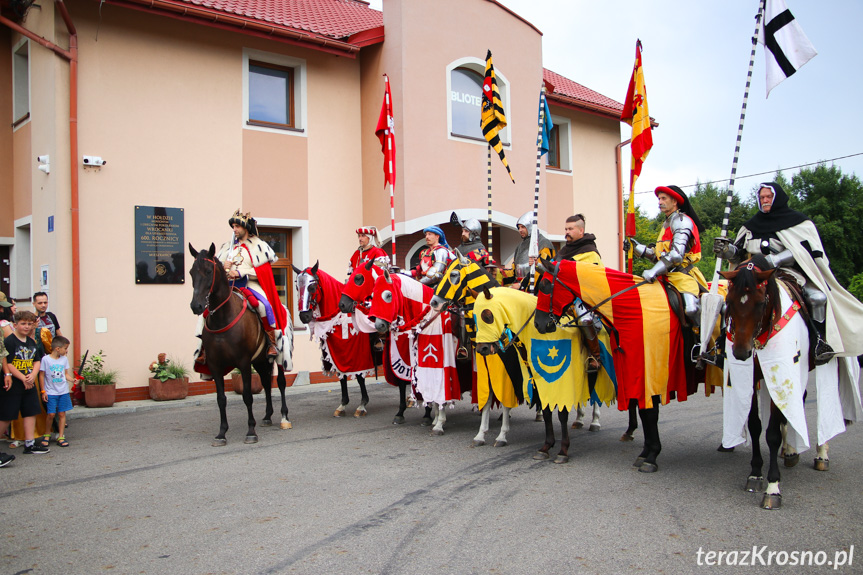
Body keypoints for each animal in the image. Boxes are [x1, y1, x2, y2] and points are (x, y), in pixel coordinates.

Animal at [187, 243, 292, 446]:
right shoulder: (215, 365)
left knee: (281, 383)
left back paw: (284, 417)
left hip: (280, 356)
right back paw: (267, 416)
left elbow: (247, 396)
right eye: (191, 272)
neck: (223, 317)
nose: (196, 306)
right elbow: (221, 399)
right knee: (266, 382)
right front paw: (221, 433)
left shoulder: (243, 362)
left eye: (209, 271)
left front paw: (251, 431)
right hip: (260, 360)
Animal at [296, 262, 372, 418]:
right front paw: (343, 404)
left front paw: (362, 405)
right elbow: (341, 376)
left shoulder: (358, 357)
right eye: (297, 287)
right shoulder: (336, 354)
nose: (304, 316)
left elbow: (360, 377)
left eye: (312, 287)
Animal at [720, 255, 860, 508]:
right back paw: (791, 450)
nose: (741, 352)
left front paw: (773, 487)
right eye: (729, 301)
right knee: (798, 402)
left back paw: (821, 453)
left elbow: (772, 433)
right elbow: (755, 426)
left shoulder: (783, 372)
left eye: (759, 303)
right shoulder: (753, 379)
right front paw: (755, 474)